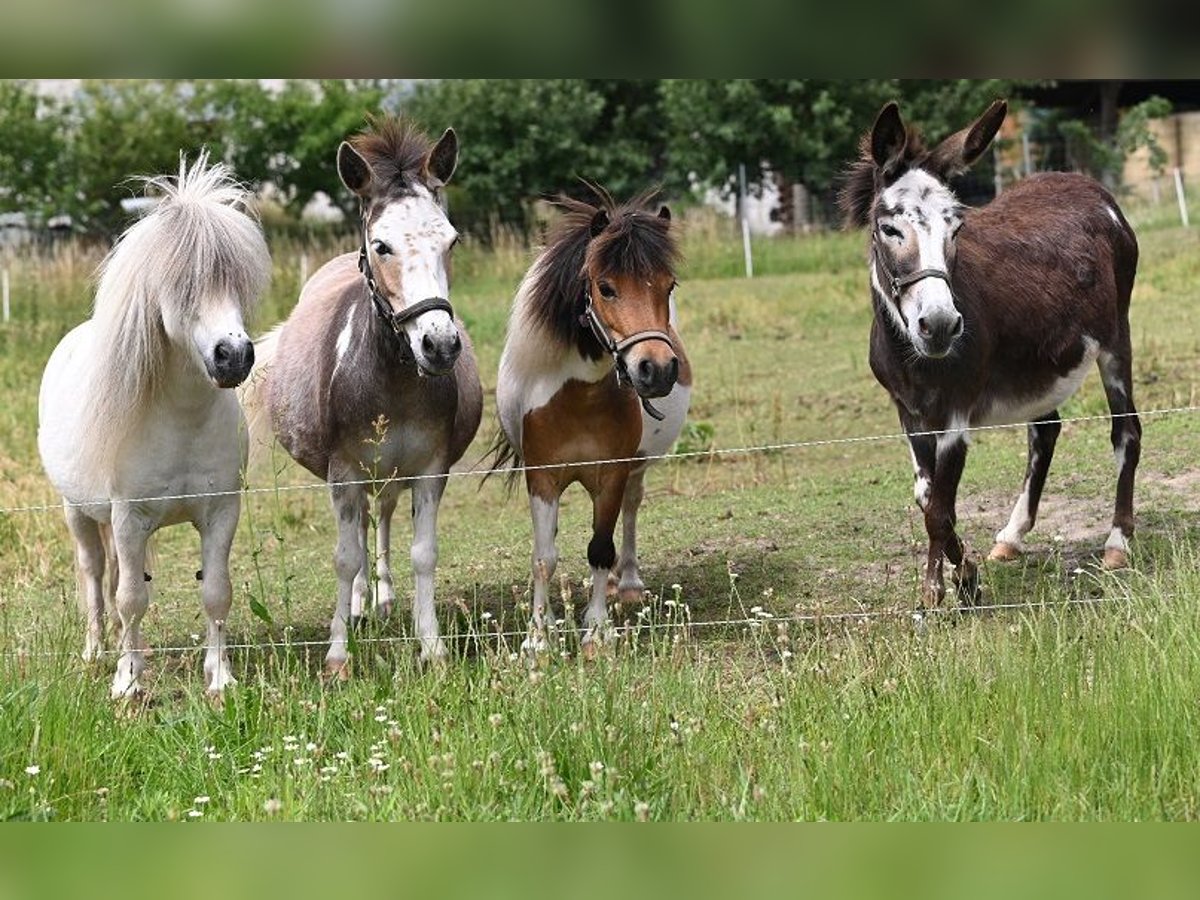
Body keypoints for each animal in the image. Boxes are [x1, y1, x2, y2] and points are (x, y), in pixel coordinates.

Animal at [39, 154, 272, 700]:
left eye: (236, 282)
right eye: (183, 287)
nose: (234, 356)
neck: (181, 422)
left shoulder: (220, 512)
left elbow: (216, 592)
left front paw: (220, 678)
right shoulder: (129, 518)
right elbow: (129, 600)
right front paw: (127, 683)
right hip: (78, 514)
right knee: (94, 576)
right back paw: (95, 653)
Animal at [244, 116, 482, 676]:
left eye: (451, 241)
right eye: (381, 245)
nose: (439, 344)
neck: (391, 381)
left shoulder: (429, 470)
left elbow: (423, 552)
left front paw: (431, 646)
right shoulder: (344, 473)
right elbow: (344, 556)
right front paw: (337, 653)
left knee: (384, 517)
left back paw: (384, 597)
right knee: (357, 533)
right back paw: (357, 604)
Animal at [492, 188, 691, 648]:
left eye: (668, 285)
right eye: (606, 287)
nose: (657, 369)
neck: (579, 399)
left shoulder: (612, 473)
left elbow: (601, 548)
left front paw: (597, 631)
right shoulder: (542, 477)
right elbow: (544, 556)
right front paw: (538, 636)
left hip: (636, 467)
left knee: (631, 511)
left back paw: (628, 583)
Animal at [840, 100, 1137, 607]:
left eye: (956, 227)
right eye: (889, 228)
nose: (940, 325)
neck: (914, 357)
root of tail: (1084, 182)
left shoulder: (956, 415)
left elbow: (940, 509)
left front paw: (937, 594)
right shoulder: (908, 412)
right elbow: (928, 497)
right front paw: (968, 575)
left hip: (1116, 342)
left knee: (1127, 433)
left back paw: (1117, 542)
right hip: (1039, 367)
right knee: (1045, 432)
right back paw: (1012, 537)